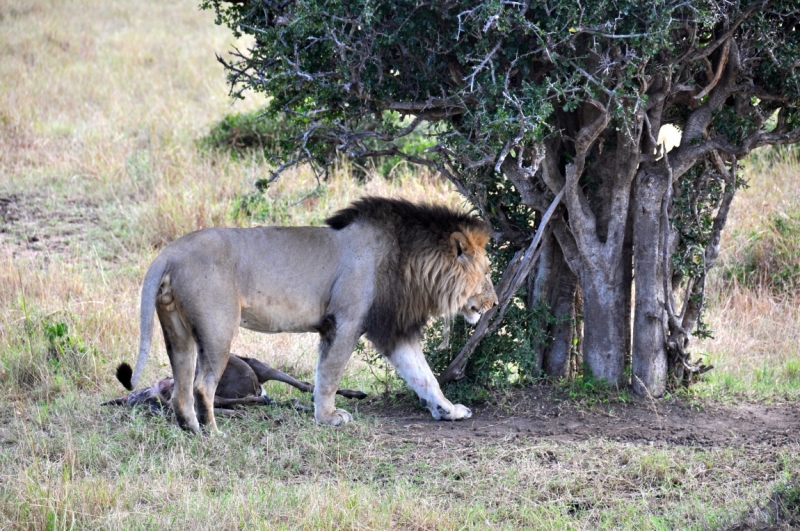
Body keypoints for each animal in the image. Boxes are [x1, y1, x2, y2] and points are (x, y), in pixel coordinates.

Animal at [116, 197, 496, 434]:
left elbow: (424, 376)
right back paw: (213, 433)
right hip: (218, 328)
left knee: (180, 390)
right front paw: (328, 417)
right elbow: (329, 374)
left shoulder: (392, 330)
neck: (411, 263)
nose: (494, 303)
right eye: (488, 270)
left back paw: (192, 430)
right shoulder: (345, 321)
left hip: (177, 331)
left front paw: (448, 410)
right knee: (200, 385)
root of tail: (170, 252)